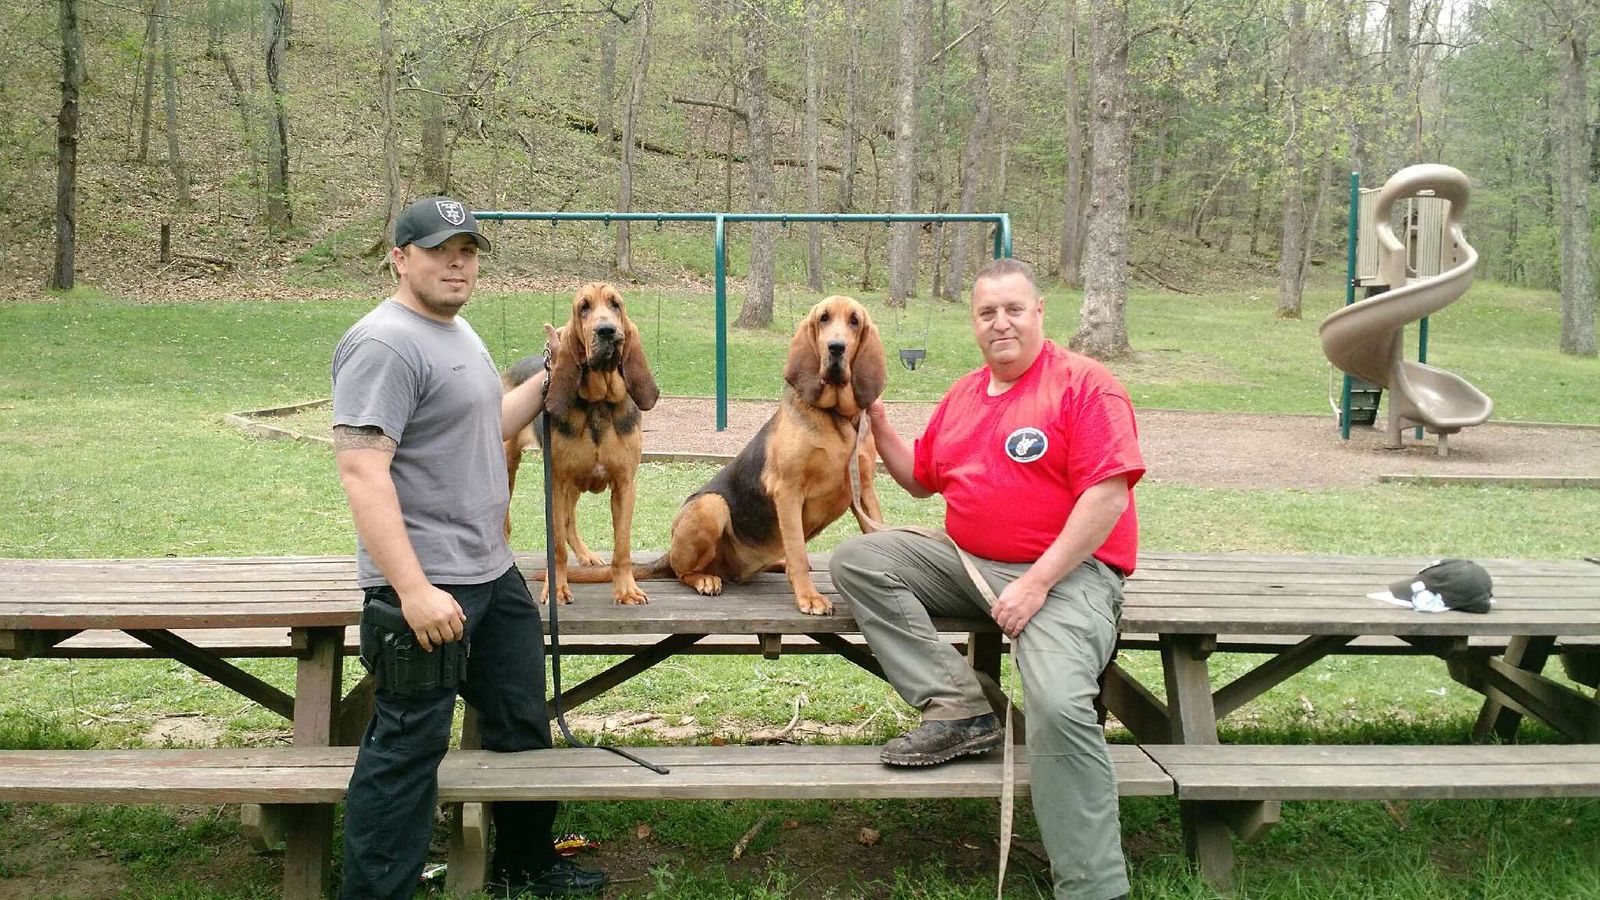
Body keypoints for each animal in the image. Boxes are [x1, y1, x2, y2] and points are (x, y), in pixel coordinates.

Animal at [503, 282, 659, 605]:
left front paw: (626, 590)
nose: (607, 331)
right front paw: (557, 589)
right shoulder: (556, 482)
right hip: (510, 466)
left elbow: (622, 547)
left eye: (616, 305)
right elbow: (556, 547)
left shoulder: (625, 484)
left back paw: (587, 555)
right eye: (583, 308)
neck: (599, 402)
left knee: (570, 522)